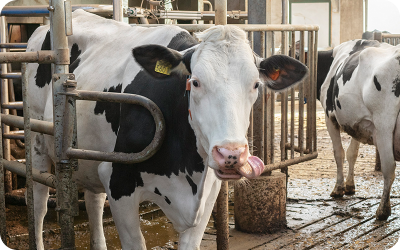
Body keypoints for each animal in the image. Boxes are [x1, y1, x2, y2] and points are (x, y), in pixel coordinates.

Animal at [28, 9, 308, 250]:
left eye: (255, 85)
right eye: (195, 82)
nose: (231, 155)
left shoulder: (208, 193)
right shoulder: (118, 180)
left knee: (93, 202)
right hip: (36, 136)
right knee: (39, 202)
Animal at [318, 39, 400, 221]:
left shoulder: (330, 117)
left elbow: (339, 153)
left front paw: (338, 188)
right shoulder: (358, 123)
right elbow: (352, 153)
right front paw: (350, 186)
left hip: (384, 125)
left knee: (389, 167)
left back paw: (382, 211)